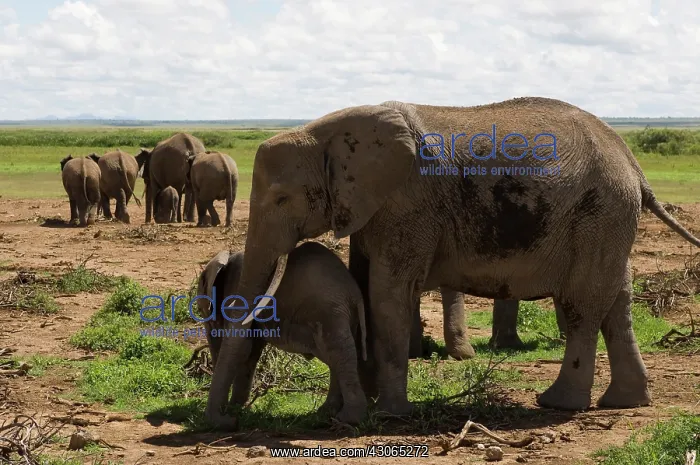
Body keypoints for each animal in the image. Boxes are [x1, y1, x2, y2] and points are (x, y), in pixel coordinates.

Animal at [196, 241, 368, 425]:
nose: (231, 420)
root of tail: (356, 295)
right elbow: (250, 351)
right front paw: (238, 409)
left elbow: (243, 347)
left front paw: (233, 412)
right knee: (337, 356)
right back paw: (326, 413)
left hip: (329, 313)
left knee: (338, 354)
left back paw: (345, 418)